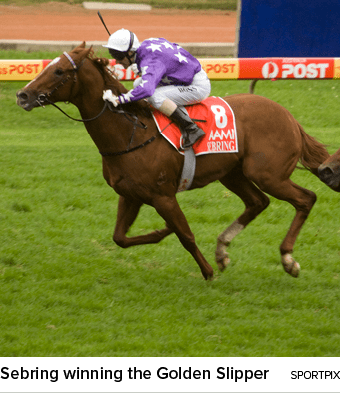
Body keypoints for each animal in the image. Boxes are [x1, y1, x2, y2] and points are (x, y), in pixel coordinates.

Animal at [15, 43, 334, 280]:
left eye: (59, 71)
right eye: (47, 65)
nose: (22, 94)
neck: (131, 132)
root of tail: (288, 116)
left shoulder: (163, 196)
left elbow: (186, 235)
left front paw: (206, 272)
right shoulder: (130, 195)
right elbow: (120, 238)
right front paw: (164, 232)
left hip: (268, 174)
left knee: (305, 198)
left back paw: (288, 259)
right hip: (233, 173)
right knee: (258, 202)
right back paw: (223, 250)